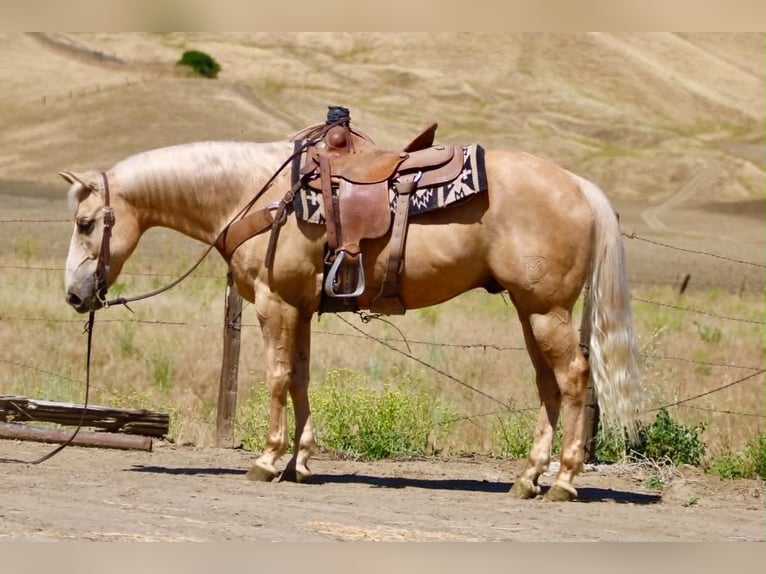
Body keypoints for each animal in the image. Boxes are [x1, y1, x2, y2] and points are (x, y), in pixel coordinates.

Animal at [61, 130, 641, 502]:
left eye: (87, 223)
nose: (74, 294)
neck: (258, 193)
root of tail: (578, 185)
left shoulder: (275, 303)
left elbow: (276, 378)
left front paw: (268, 461)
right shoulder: (298, 307)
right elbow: (299, 377)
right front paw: (301, 462)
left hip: (546, 310)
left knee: (574, 378)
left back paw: (563, 481)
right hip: (530, 311)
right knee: (548, 384)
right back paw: (528, 479)